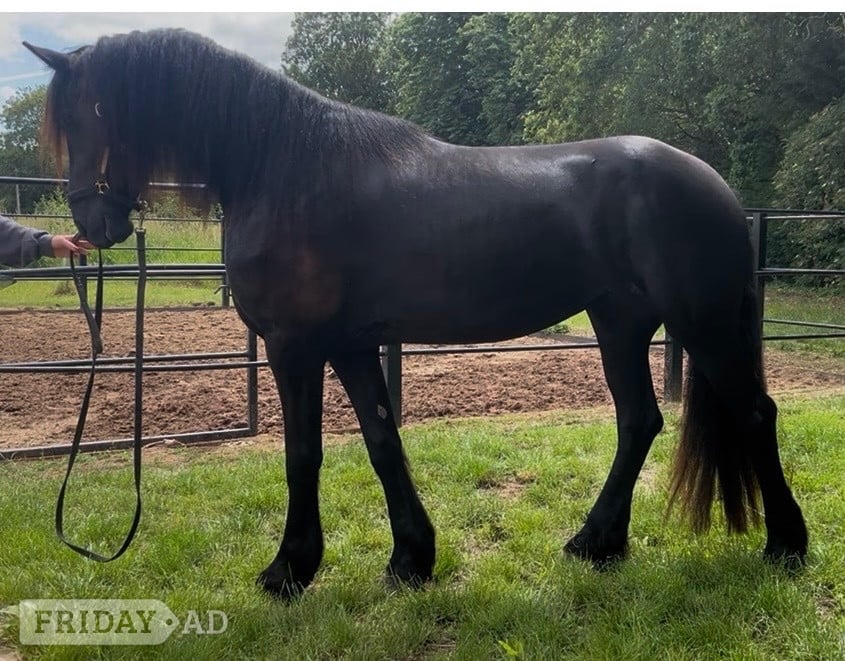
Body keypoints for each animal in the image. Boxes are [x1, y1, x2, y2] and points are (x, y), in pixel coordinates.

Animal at [25, 28, 808, 599]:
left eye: (90, 114)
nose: (90, 224)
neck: (283, 169)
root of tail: (716, 186)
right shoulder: (348, 344)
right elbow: (380, 442)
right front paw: (410, 560)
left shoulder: (292, 344)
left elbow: (302, 453)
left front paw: (289, 570)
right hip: (619, 326)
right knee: (638, 421)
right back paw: (596, 544)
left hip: (702, 326)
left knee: (752, 414)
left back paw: (785, 546)